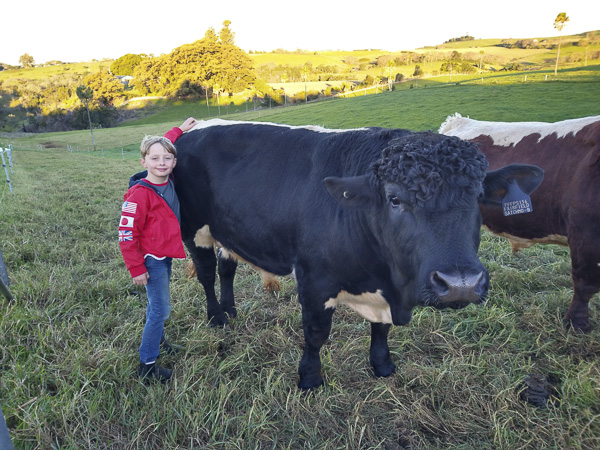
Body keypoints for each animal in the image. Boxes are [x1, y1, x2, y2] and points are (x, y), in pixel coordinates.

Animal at [172, 120, 544, 390]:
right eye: (395, 199)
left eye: (478, 196)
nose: (460, 284)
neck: (386, 278)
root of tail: (194, 131)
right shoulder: (315, 280)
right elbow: (316, 332)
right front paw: (310, 377)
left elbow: (381, 329)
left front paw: (382, 365)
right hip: (193, 226)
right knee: (206, 272)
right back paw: (217, 317)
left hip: (226, 230)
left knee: (226, 268)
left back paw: (231, 309)